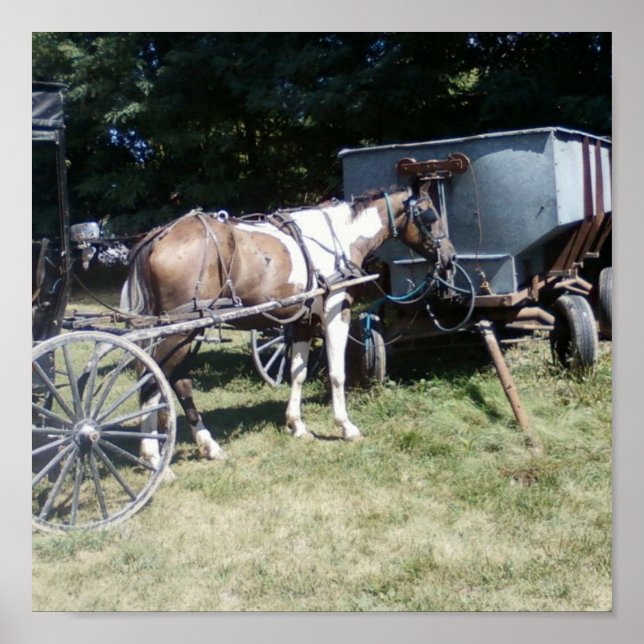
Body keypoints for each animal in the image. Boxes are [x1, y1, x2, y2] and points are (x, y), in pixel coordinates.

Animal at [121, 186, 456, 468]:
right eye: (431, 215)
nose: (450, 257)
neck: (340, 238)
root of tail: (158, 235)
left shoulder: (302, 322)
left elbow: (298, 373)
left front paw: (297, 424)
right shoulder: (337, 310)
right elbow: (337, 373)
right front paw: (345, 426)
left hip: (184, 331)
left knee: (171, 379)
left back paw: (203, 446)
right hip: (179, 330)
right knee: (154, 380)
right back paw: (155, 456)